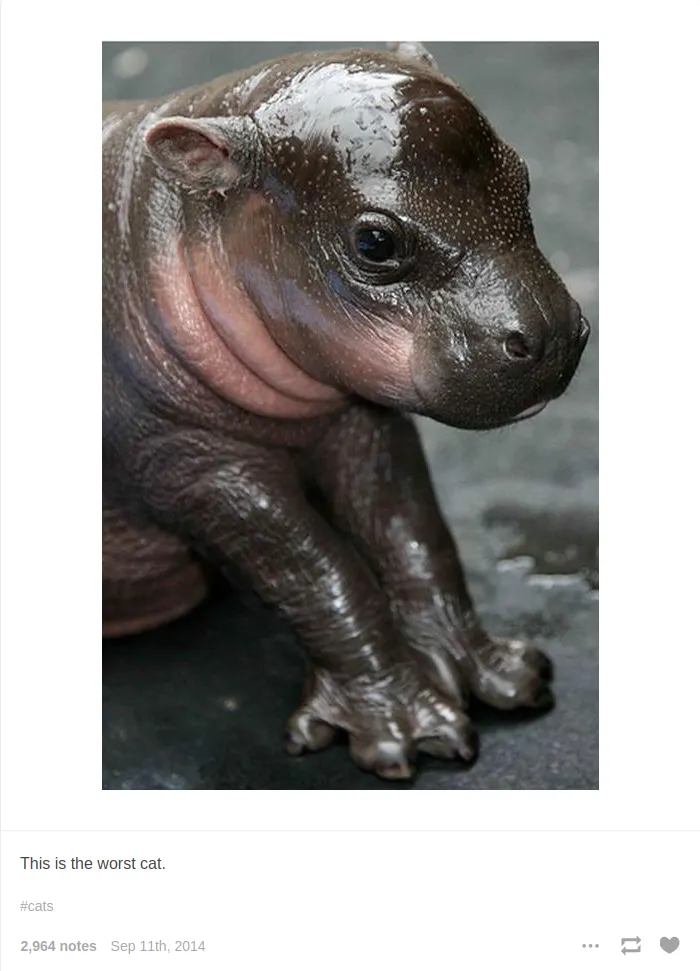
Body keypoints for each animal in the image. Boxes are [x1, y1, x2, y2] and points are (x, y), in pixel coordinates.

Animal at [102, 42, 589, 781]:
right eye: (374, 242)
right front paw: (401, 731)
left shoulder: (360, 416)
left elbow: (413, 531)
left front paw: (495, 674)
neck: (160, 219)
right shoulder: (188, 461)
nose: (553, 333)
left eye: (524, 176)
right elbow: (318, 571)